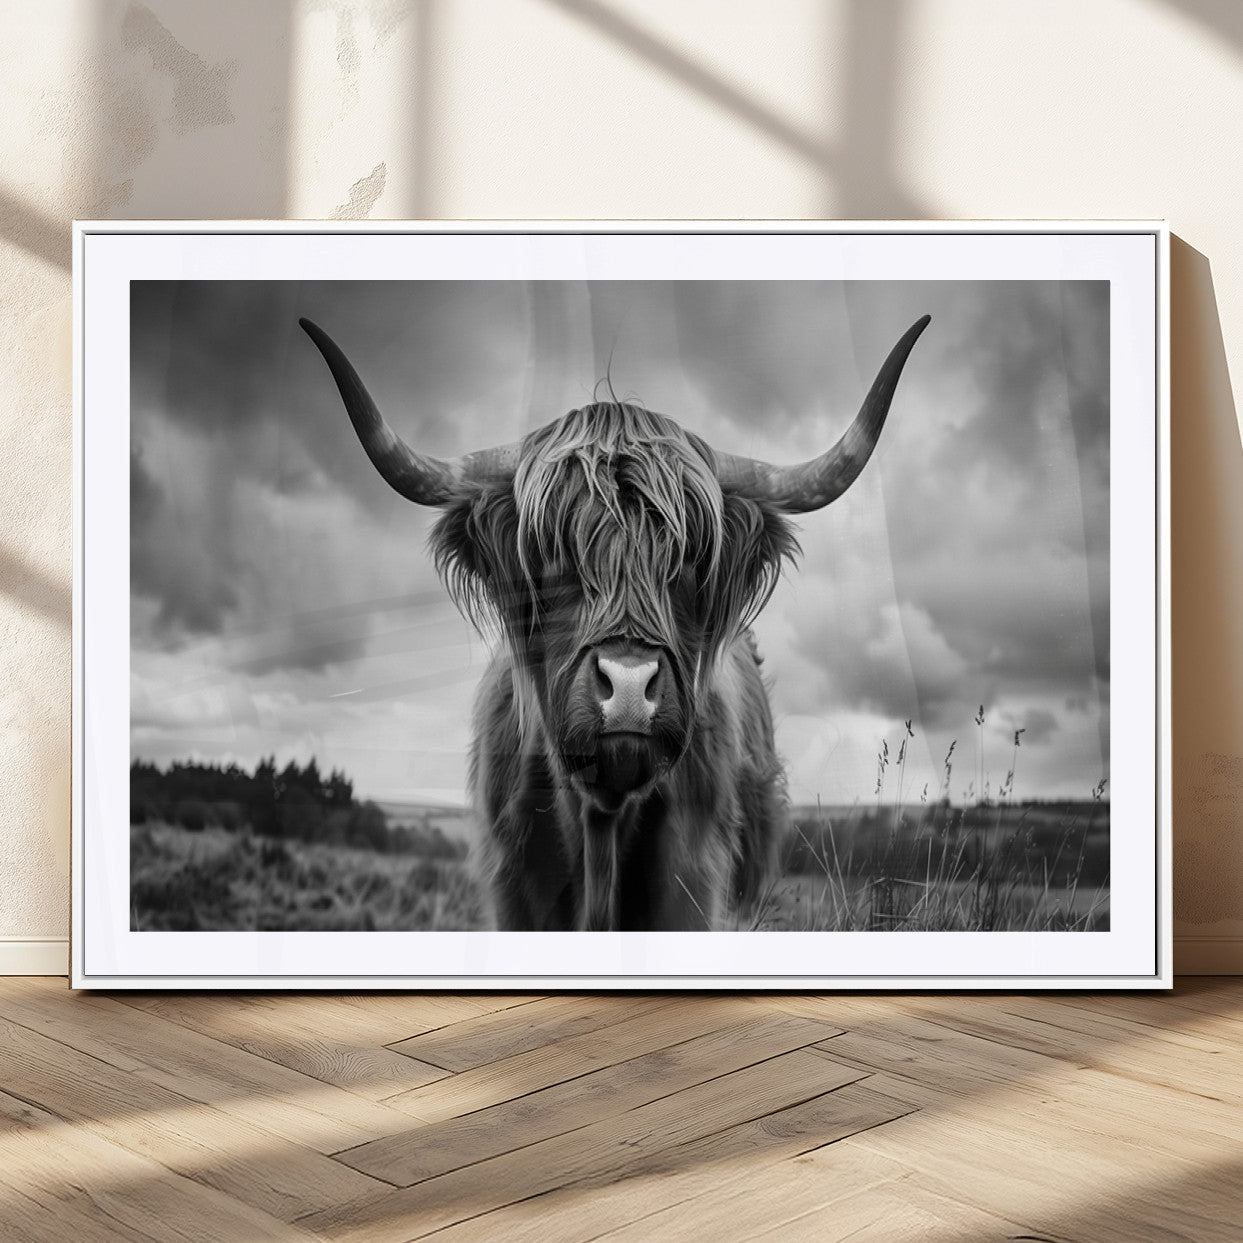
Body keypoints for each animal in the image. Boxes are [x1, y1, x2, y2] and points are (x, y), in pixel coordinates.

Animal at [300, 312, 929, 930]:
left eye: (690, 558)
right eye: (550, 553)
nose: (628, 685)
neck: (599, 825)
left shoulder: (696, 888)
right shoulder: (511, 892)